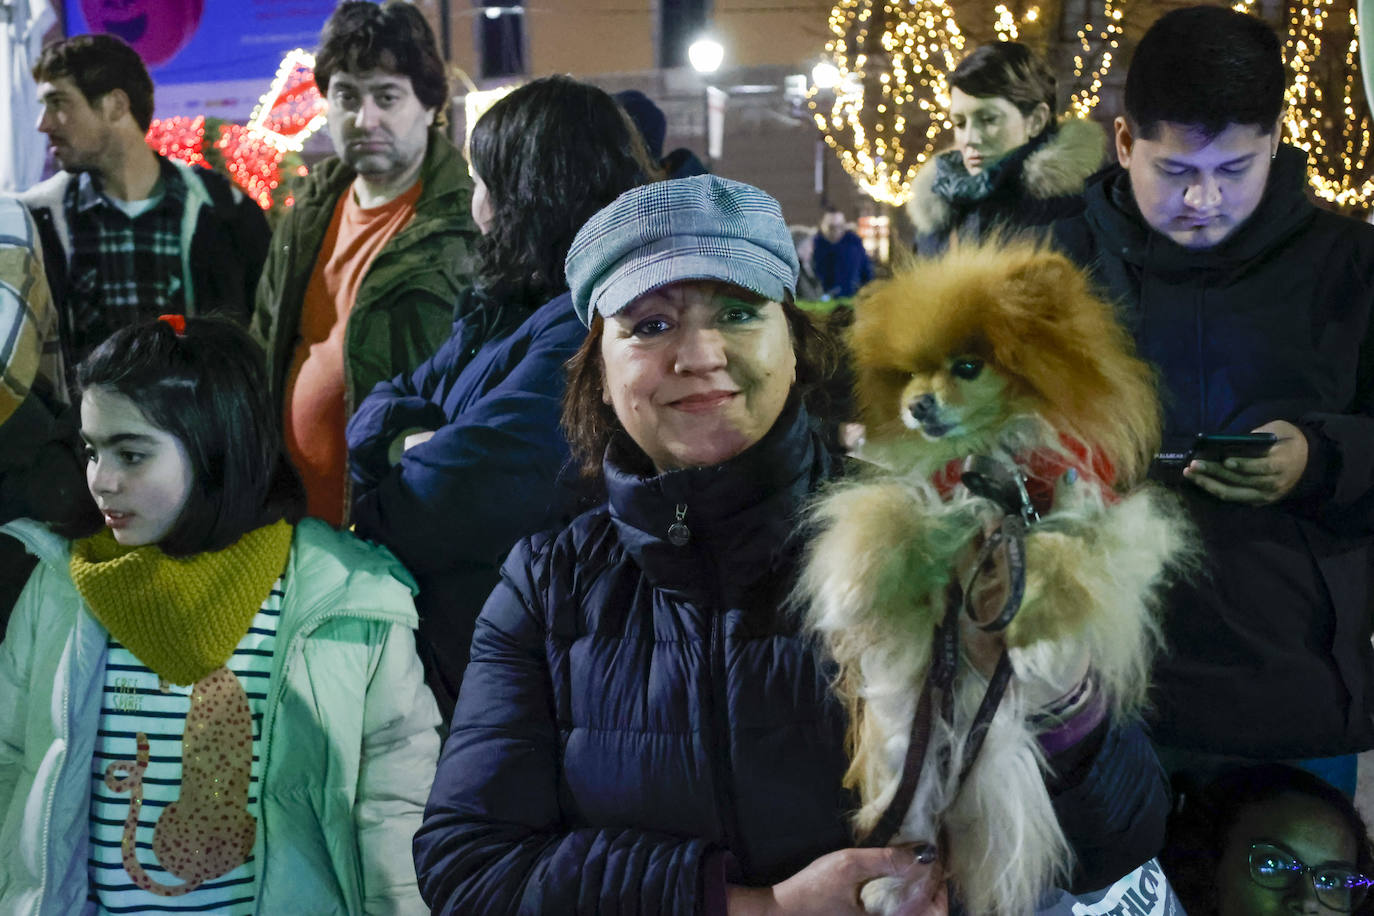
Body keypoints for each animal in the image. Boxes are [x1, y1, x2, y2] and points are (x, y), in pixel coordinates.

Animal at [802, 240, 1198, 911]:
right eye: (909, 375)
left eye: (967, 367)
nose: (918, 405)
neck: (993, 467)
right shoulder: (929, 490)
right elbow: (886, 510)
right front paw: (852, 585)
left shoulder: (1092, 510)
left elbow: (1070, 554)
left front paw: (1039, 631)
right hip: (902, 741)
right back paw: (888, 884)